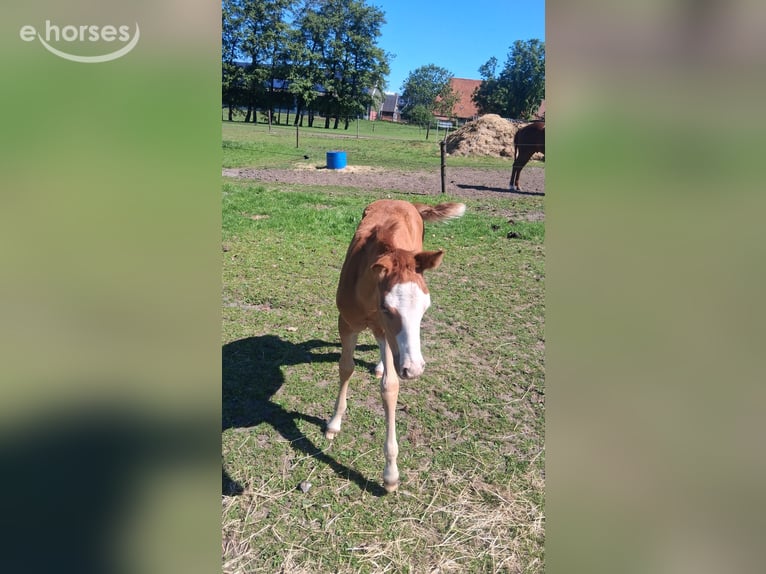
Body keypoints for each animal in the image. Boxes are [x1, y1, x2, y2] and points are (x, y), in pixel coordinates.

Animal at [326, 199, 466, 492]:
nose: (415, 368)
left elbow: (390, 387)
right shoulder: (346, 323)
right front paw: (333, 424)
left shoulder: (387, 335)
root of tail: (405, 201)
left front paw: (390, 474)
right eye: (386, 307)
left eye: (425, 308)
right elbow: (346, 368)